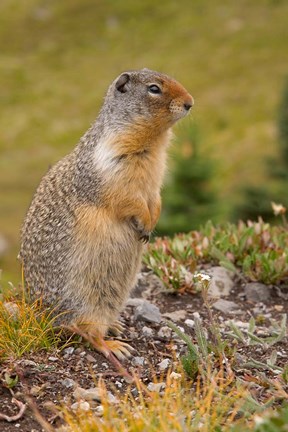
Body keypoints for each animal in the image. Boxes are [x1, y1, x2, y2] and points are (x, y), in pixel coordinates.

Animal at [19, 67, 192, 358]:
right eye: (154, 89)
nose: (190, 102)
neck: (153, 142)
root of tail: (42, 317)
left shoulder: (155, 178)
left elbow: (155, 198)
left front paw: (152, 220)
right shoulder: (112, 167)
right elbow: (126, 199)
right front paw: (144, 223)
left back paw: (116, 325)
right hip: (86, 301)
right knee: (89, 333)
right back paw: (113, 345)